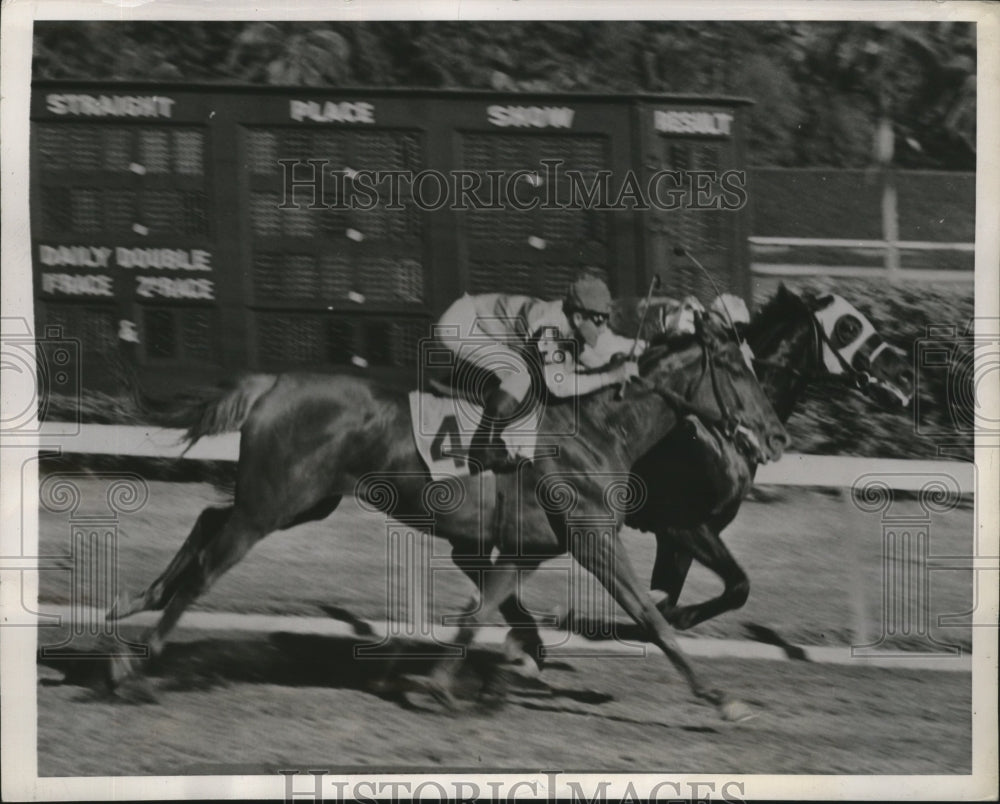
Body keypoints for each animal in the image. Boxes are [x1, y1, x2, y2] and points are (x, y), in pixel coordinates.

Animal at [107, 310, 788, 720]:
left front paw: (446, 681)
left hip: (301, 501)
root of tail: (274, 383)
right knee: (209, 565)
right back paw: (134, 664)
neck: (601, 433)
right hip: (272, 504)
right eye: (734, 369)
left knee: (206, 520)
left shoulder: (530, 545)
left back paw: (132, 603)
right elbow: (650, 614)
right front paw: (719, 698)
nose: (777, 434)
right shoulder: (593, 540)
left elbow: (486, 608)